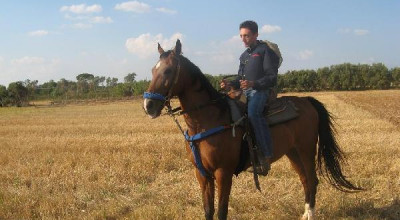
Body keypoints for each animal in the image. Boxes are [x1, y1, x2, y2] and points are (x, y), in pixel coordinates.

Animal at [143, 40, 360, 220]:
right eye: (153, 70)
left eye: (168, 70)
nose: (148, 105)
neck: (208, 121)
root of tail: (307, 101)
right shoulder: (202, 173)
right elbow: (208, 211)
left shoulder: (223, 172)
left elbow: (221, 212)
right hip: (293, 152)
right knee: (305, 180)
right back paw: (305, 213)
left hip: (306, 149)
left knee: (313, 180)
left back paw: (311, 215)